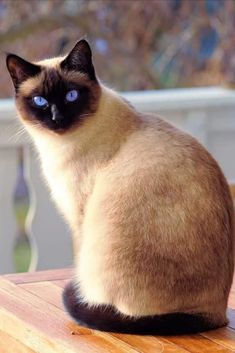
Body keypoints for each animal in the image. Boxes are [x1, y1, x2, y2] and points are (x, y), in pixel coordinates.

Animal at [6, 40, 234, 334]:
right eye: (40, 101)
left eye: (71, 96)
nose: (57, 118)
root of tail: (216, 314)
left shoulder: (79, 216)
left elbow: (78, 262)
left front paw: (81, 292)